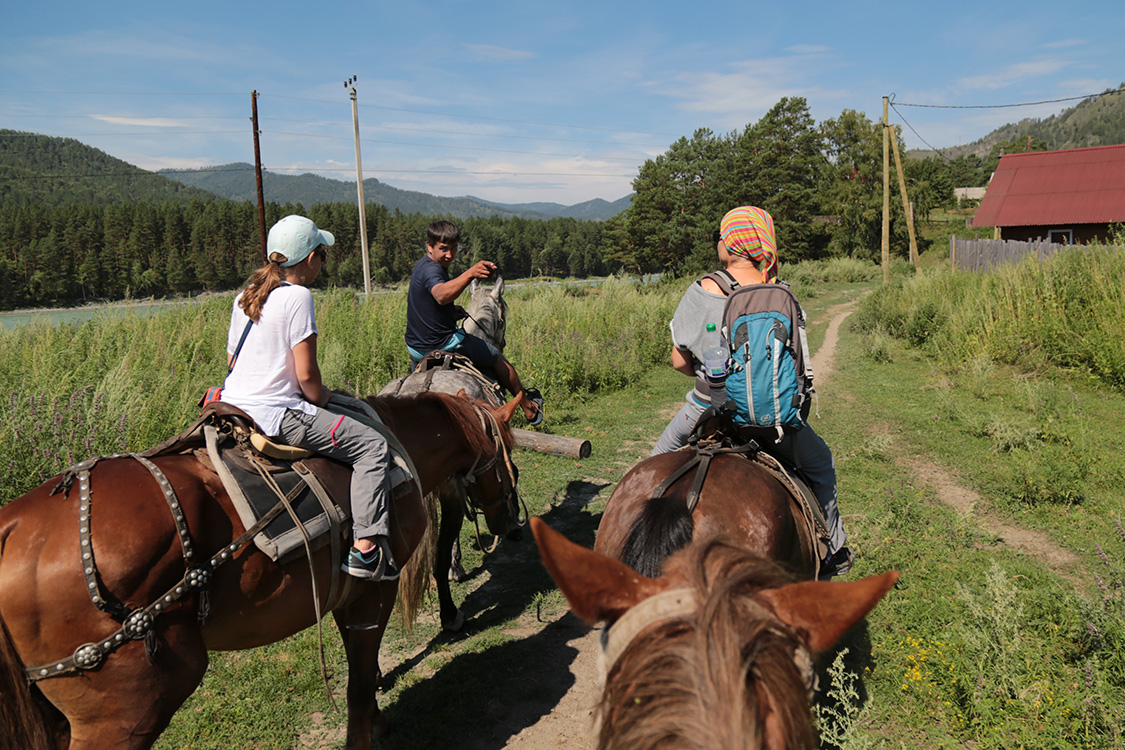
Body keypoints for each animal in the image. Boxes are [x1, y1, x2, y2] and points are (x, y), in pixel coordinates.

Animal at [0, 391, 519, 750]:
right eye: (508, 454)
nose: (510, 522)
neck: (396, 450)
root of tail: (14, 525)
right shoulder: (375, 591)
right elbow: (357, 678)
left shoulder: (348, 595)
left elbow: (363, 666)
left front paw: (376, 719)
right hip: (130, 708)